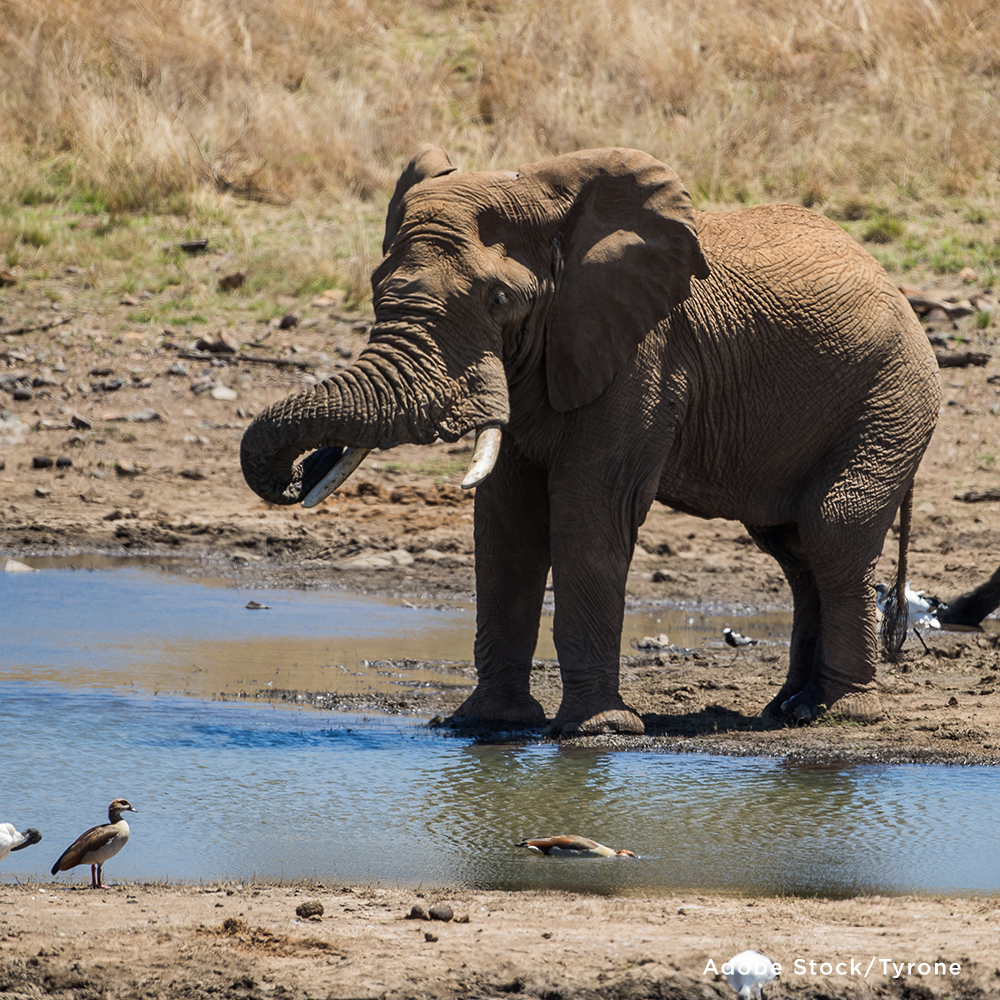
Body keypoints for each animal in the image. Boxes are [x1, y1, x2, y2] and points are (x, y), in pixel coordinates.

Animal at [238, 145, 940, 736]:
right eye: (377, 287)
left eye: (498, 299)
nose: (303, 471)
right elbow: (507, 523)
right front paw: (486, 725)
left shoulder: (643, 356)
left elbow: (587, 513)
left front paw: (596, 732)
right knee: (792, 550)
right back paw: (787, 707)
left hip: (890, 397)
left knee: (831, 530)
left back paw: (837, 713)